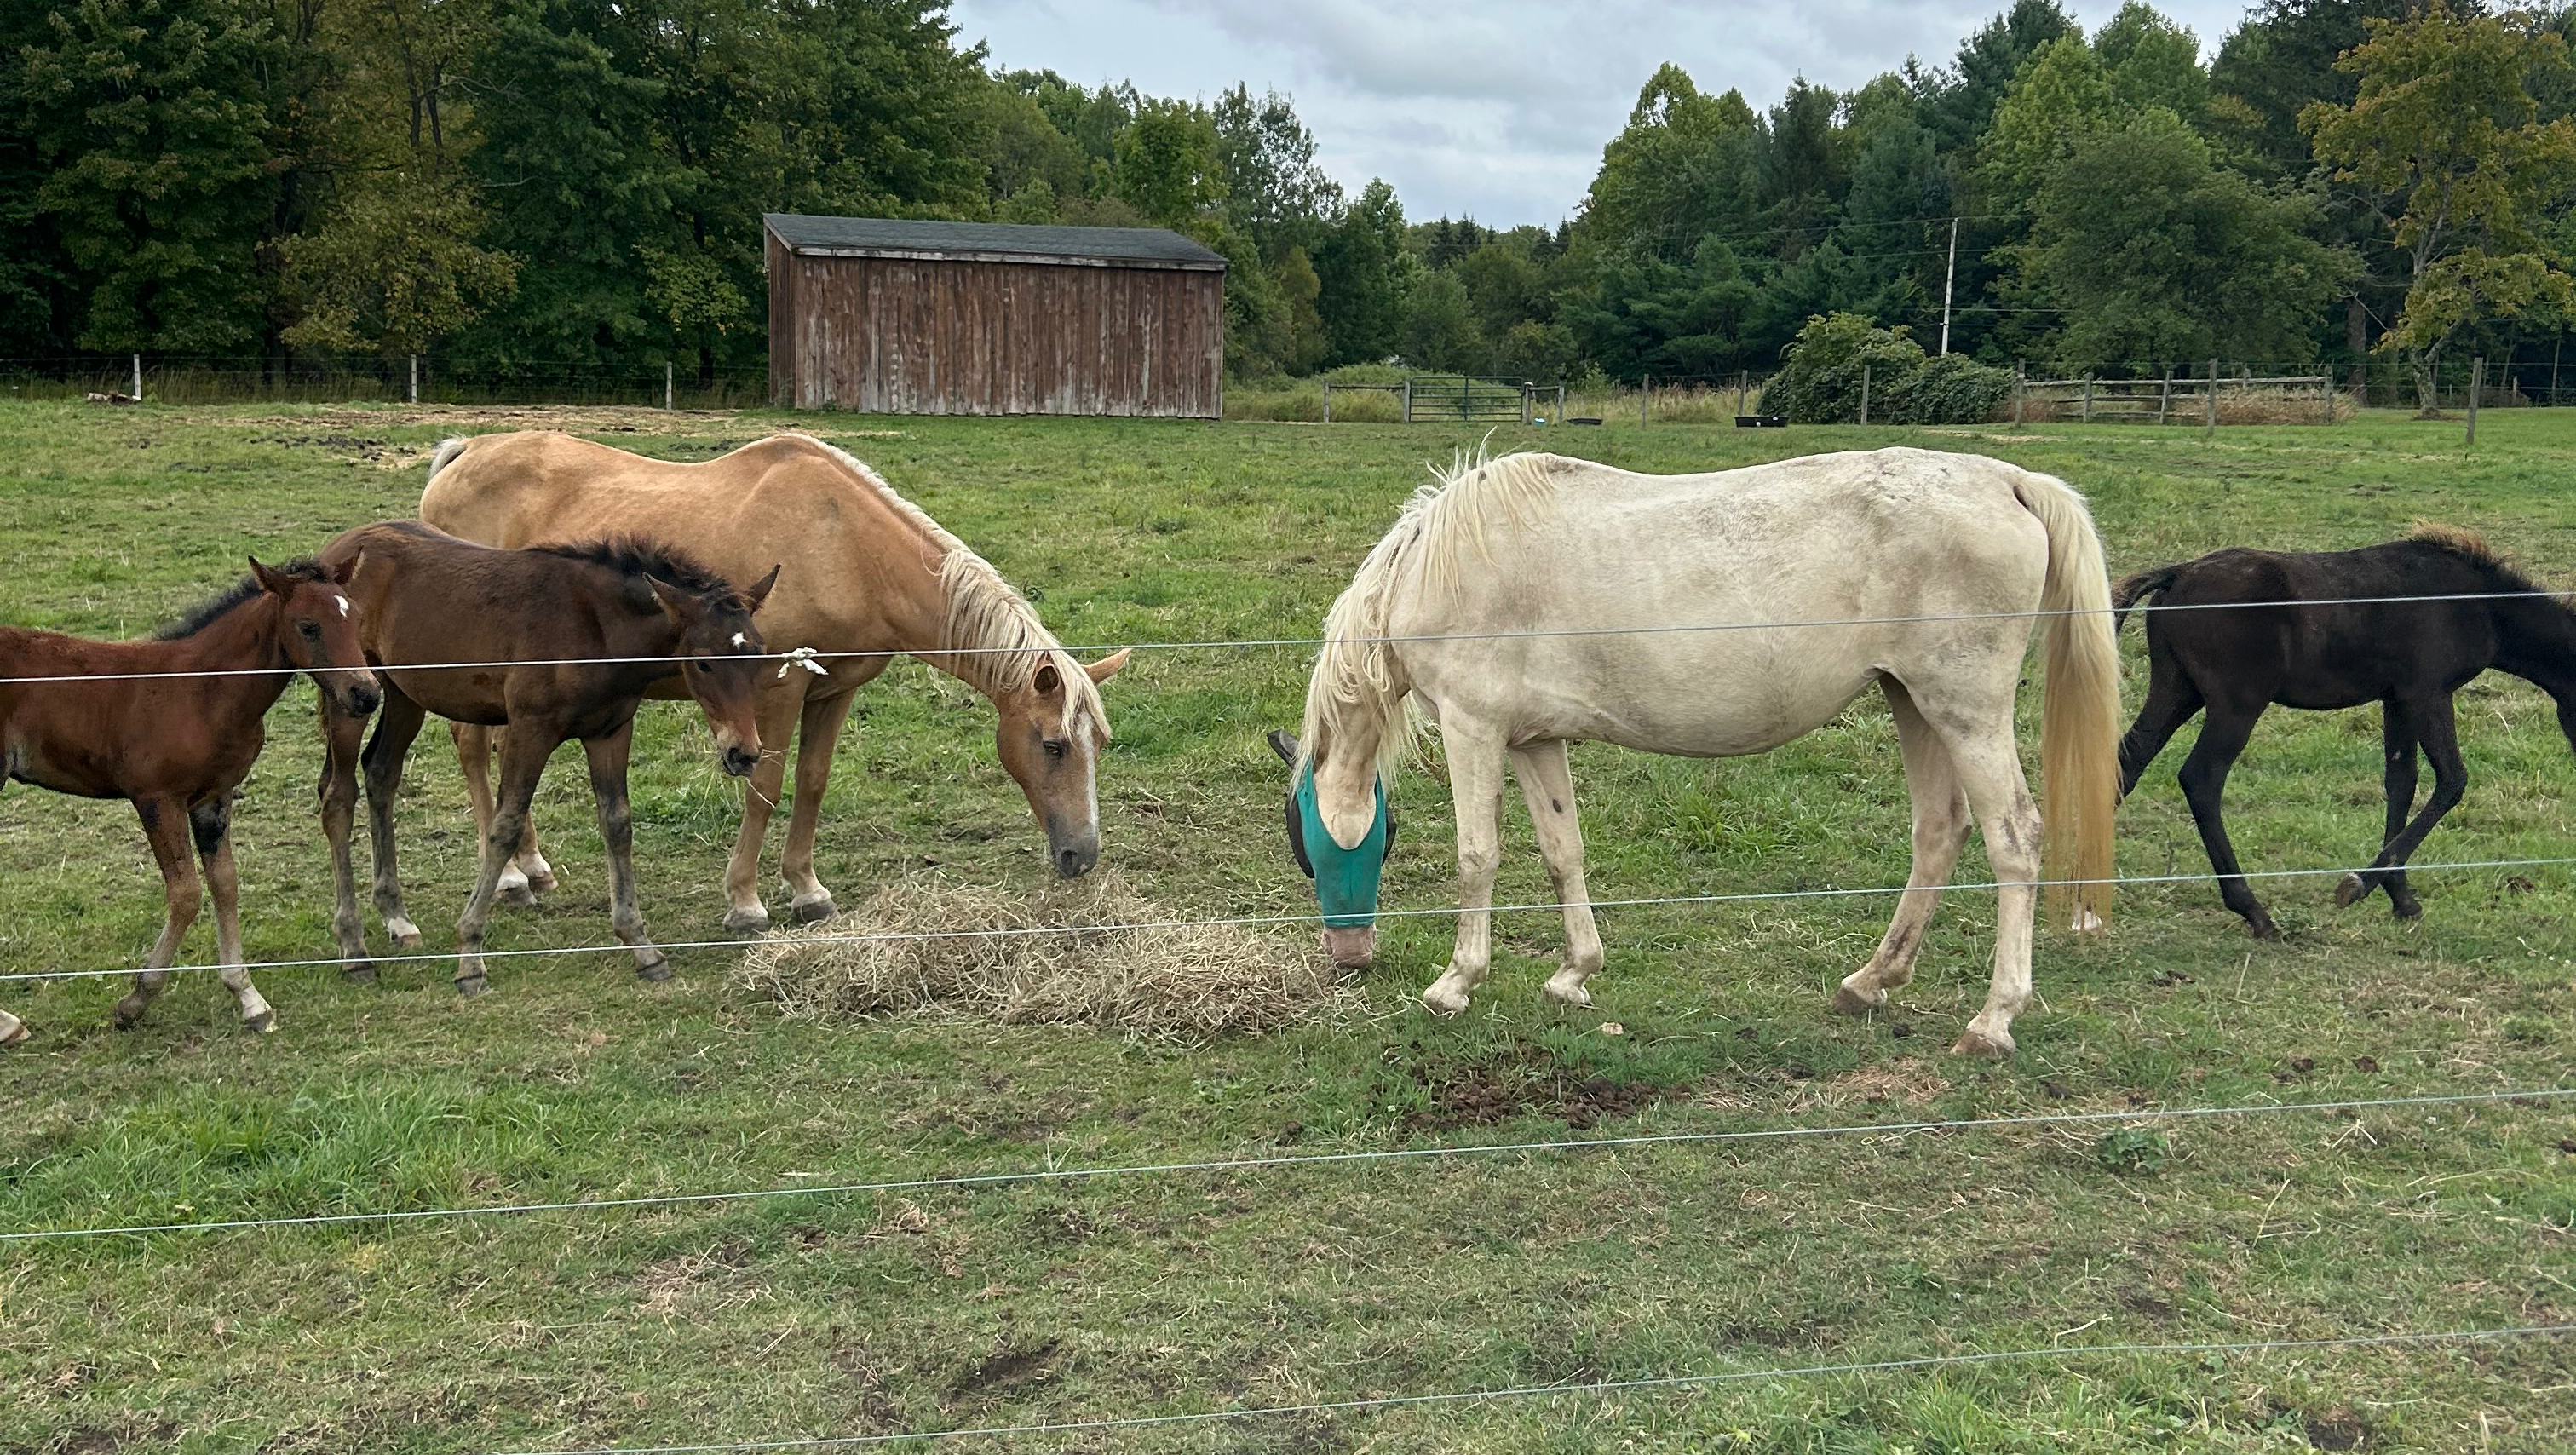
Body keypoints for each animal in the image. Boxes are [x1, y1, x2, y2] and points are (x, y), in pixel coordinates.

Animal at [1, 558, 379, 1031]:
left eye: (358, 619)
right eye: (308, 626)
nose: (367, 694)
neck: (202, 691)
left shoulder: (214, 797)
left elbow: (225, 884)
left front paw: (249, 997)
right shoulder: (157, 798)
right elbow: (185, 894)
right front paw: (135, 1000)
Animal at [315, 522, 776, 994]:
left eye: (759, 654)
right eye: (703, 663)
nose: (743, 753)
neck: (595, 627)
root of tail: (338, 550)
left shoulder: (610, 732)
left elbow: (617, 825)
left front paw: (642, 946)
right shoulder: (529, 729)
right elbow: (506, 827)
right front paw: (470, 956)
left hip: (403, 695)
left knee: (381, 773)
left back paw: (396, 917)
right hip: (351, 695)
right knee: (338, 795)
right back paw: (354, 949)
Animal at [418, 432, 1128, 931]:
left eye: (1100, 745)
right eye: (1053, 745)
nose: (1082, 856)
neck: (846, 545)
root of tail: (464, 452)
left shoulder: (835, 691)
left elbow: (811, 784)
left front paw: (807, 890)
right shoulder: (776, 692)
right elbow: (765, 785)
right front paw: (746, 901)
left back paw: (531, 867)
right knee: (471, 748)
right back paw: (511, 878)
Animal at [1271, 447, 2121, 1059]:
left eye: (1314, 851)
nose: (1349, 956)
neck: (1441, 562)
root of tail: (2010, 481)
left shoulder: (1471, 727)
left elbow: (1478, 854)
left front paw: (1455, 984)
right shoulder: (1535, 741)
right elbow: (1562, 851)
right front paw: (1573, 975)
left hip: (1966, 712)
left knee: (2015, 839)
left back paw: (1993, 1020)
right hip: (1912, 702)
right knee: (1940, 832)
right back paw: (1870, 982)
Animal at [2113, 524, 2576, 938]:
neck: (2480, 604)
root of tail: (2179, 574)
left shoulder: (2397, 700)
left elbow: (2401, 783)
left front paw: (2400, 896)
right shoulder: (2428, 694)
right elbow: (2451, 781)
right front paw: (2358, 884)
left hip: (2177, 689)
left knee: (2127, 762)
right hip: (2236, 705)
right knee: (2201, 778)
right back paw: (2254, 911)